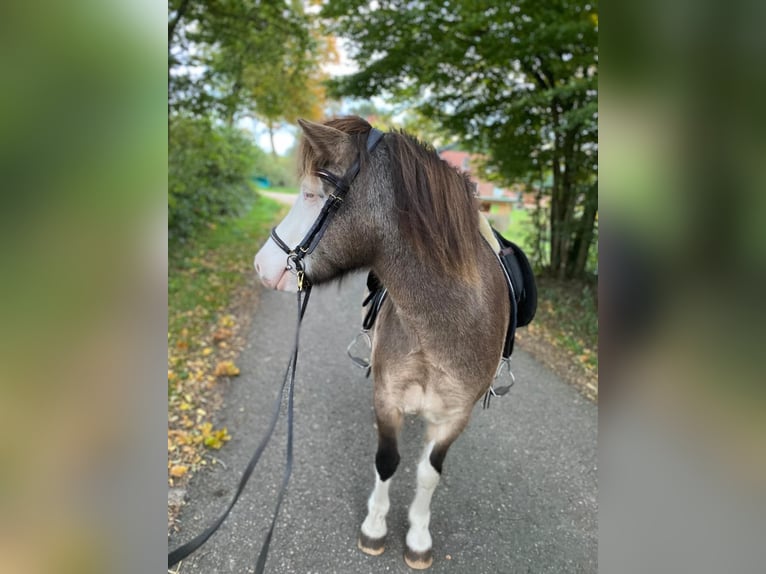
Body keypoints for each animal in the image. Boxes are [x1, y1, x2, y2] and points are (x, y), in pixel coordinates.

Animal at [253, 116, 509, 569]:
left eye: (310, 194)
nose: (260, 265)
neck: (440, 328)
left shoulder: (454, 416)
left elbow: (428, 473)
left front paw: (419, 536)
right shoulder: (387, 400)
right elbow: (387, 461)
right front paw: (374, 527)